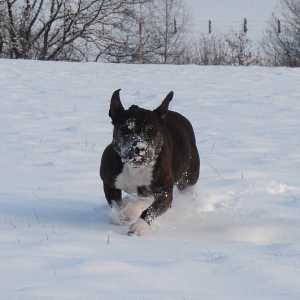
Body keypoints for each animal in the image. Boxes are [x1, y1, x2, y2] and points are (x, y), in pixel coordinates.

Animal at [99, 90, 200, 236]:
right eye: (126, 129)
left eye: (152, 131)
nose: (139, 147)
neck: (135, 167)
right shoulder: (109, 184)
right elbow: (116, 206)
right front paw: (123, 216)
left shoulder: (164, 194)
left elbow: (150, 210)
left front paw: (139, 226)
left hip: (188, 179)